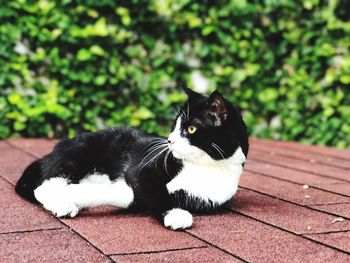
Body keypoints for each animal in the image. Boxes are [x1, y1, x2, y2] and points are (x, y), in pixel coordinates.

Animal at [15, 86, 247, 231]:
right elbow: (153, 191)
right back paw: (62, 203)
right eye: (174, 126)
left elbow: (133, 196)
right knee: (42, 187)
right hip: (78, 153)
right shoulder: (144, 170)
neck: (206, 165)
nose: (169, 141)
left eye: (191, 129)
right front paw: (176, 215)